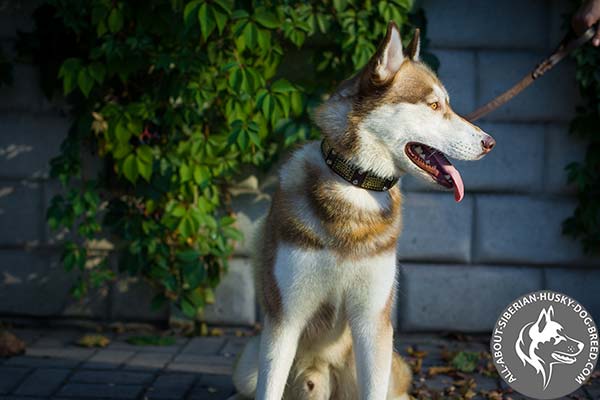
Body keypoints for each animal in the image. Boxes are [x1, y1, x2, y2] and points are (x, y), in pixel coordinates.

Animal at [232, 22, 494, 400]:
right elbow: (269, 389)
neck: (355, 186)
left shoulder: (373, 321)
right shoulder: (285, 320)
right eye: (434, 105)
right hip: (249, 363)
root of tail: (317, 372)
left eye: (447, 104)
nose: (490, 142)